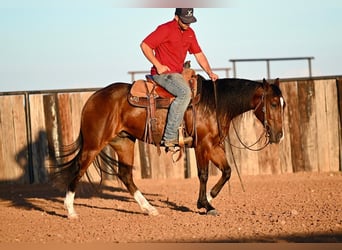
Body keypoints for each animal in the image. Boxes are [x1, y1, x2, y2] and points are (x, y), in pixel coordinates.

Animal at [51, 71, 286, 219]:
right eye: (274, 103)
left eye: (283, 104)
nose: (279, 135)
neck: (214, 103)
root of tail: (94, 98)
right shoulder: (202, 145)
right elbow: (203, 174)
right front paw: (205, 204)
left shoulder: (214, 145)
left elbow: (227, 171)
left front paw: (209, 198)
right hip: (94, 144)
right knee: (78, 170)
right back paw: (70, 211)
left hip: (124, 142)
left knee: (125, 175)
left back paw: (150, 209)